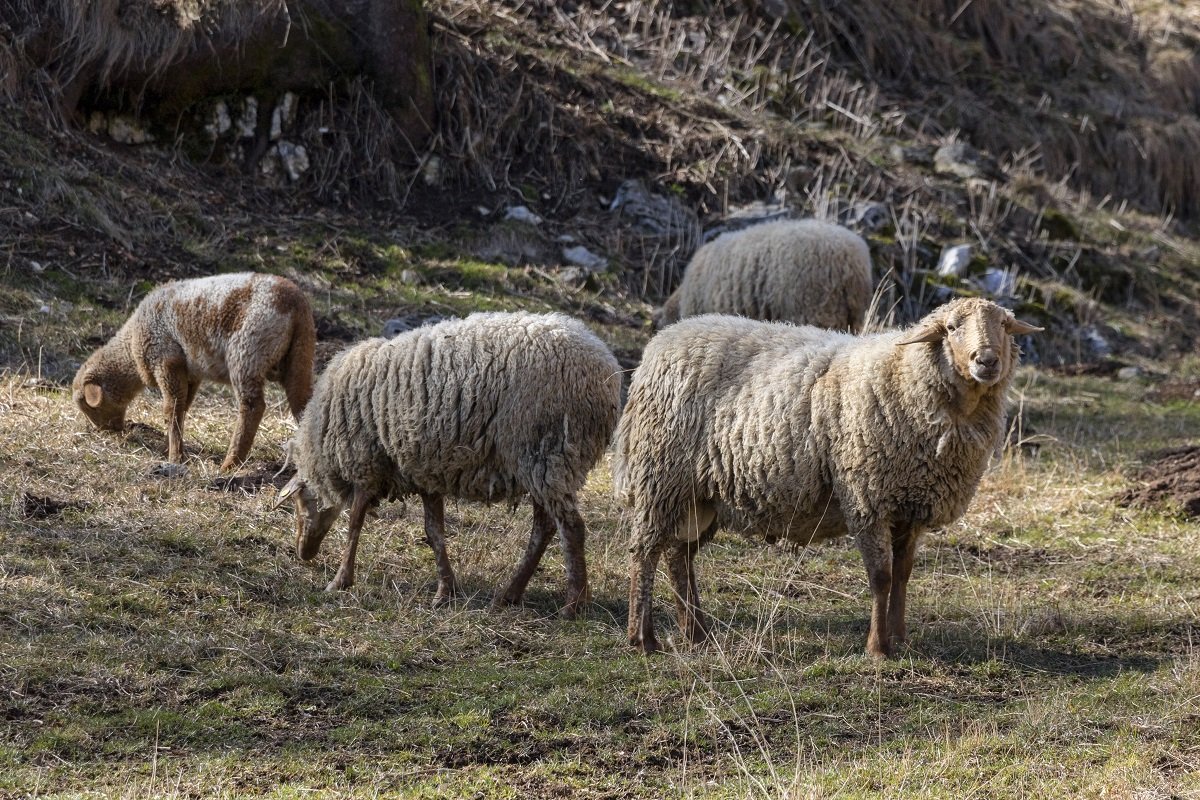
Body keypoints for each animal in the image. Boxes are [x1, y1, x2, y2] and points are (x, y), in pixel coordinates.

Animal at [72, 272, 315, 471]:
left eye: (88, 406)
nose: (106, 431)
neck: (131, 346)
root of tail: (295, 303)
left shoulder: (166, 361)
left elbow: (172, 409)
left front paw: (175, 457)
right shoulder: (191, 373)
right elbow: (183, 406)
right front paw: (171, 448)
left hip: (248, 352)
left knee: (252, 406)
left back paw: (230, 463)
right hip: (300, 356)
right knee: (303, 402)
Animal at [273, 311, 623, 618]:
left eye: (299, 505)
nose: (303, 554)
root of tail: (607, 370)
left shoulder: (366, 462)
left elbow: (355, 523)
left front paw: (340, 580)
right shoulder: (424, 470)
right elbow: (434, 531)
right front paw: (445, 592)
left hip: (547, 452)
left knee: (571, 528)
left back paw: (572, 606)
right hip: (541, 463)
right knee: (545, 527)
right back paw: (509, 595)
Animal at [613, 297, 1041, 658]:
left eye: (1004, 325)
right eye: (952, 328)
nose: (987, 361)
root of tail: (663, 340)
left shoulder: (911, 506)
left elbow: (903, 575)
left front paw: (900, 638)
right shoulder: (868, 498)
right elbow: (882, 577)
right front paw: (878, 648)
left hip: (701, 495)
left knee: (678, 556)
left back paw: (697, 633)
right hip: (661, 476)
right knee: (644, 553)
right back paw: (643, 638)